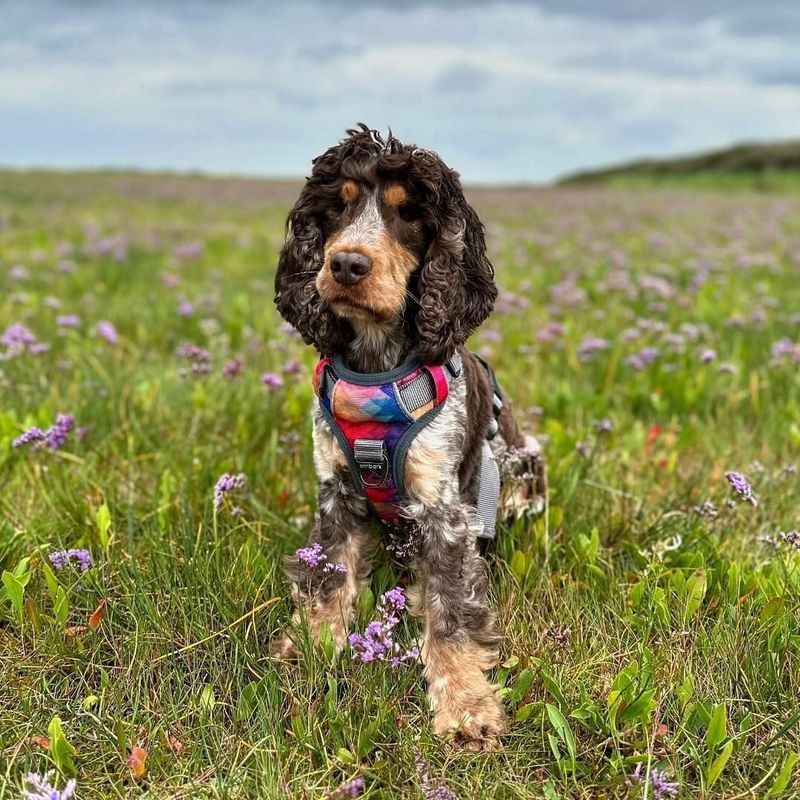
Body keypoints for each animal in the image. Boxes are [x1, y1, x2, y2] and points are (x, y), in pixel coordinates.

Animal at [272, 123, 548, 752]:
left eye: (408, 214)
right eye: (338, 206)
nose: (347, 264)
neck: (376, 364)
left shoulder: (446, 511)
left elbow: (450, 612)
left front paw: (466, 706)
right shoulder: (337, 491)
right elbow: (330, 575)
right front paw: (311, 646)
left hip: (522, 465)